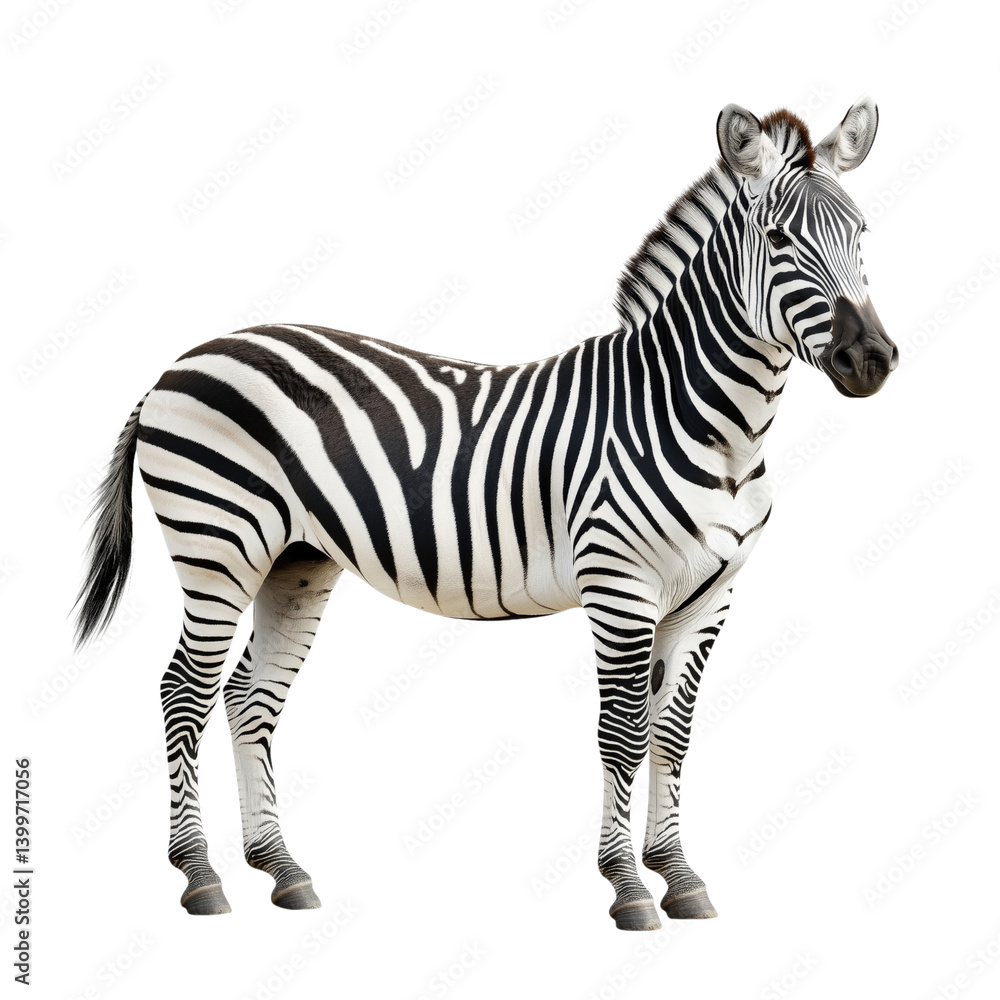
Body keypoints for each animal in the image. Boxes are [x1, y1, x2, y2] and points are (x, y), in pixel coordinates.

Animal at [74, 98, 897, 930]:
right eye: (780, 240)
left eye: (862, 234)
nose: (872, 360)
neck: (705, 422)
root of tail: (181, 362)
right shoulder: (619, 586)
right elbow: (622, 733)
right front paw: (629, 888)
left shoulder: (711, 597)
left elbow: (672, 734)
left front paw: (678, 874)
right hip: (219, 543)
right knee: (184, 690)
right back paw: (199, 874)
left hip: (295, 561)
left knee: (249, 698)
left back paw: (280, 868)